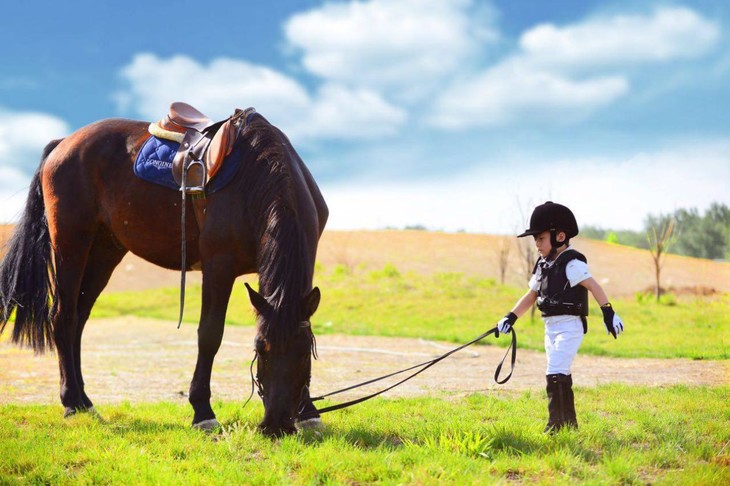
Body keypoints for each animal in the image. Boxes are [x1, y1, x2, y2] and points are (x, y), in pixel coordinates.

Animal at [0, 110, 328, 436]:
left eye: (304, 352)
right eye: (260, 348)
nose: (277, 425)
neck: (258, 176)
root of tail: (63, 143)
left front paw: (309, 413)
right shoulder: (218, 265)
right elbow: (210, 334)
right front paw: (203, 412)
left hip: (104, 251)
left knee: (79, 319)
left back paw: (84, 401)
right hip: (71, 243)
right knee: (63, 317)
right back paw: (70, 402)